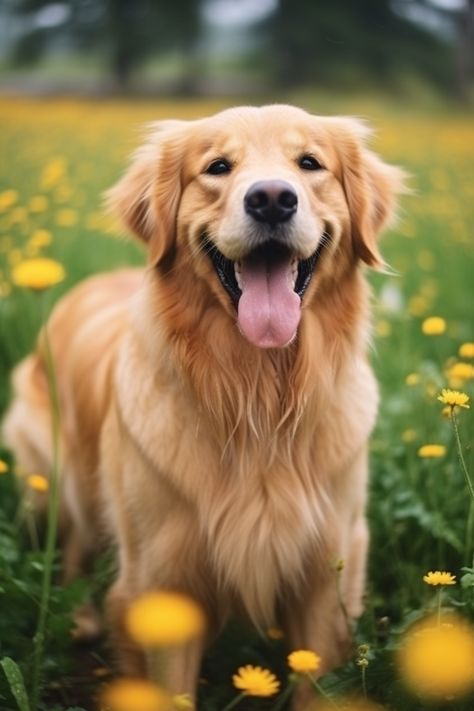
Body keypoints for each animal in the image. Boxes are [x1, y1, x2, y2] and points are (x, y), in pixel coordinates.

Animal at [2, 104, 404, 708]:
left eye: (310, 163)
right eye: (217, 167)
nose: (270, 198)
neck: (258, 397)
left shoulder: (328, 569)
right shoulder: (163, 582)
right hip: (57, 478)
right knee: (71, 544)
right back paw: (81, 618)